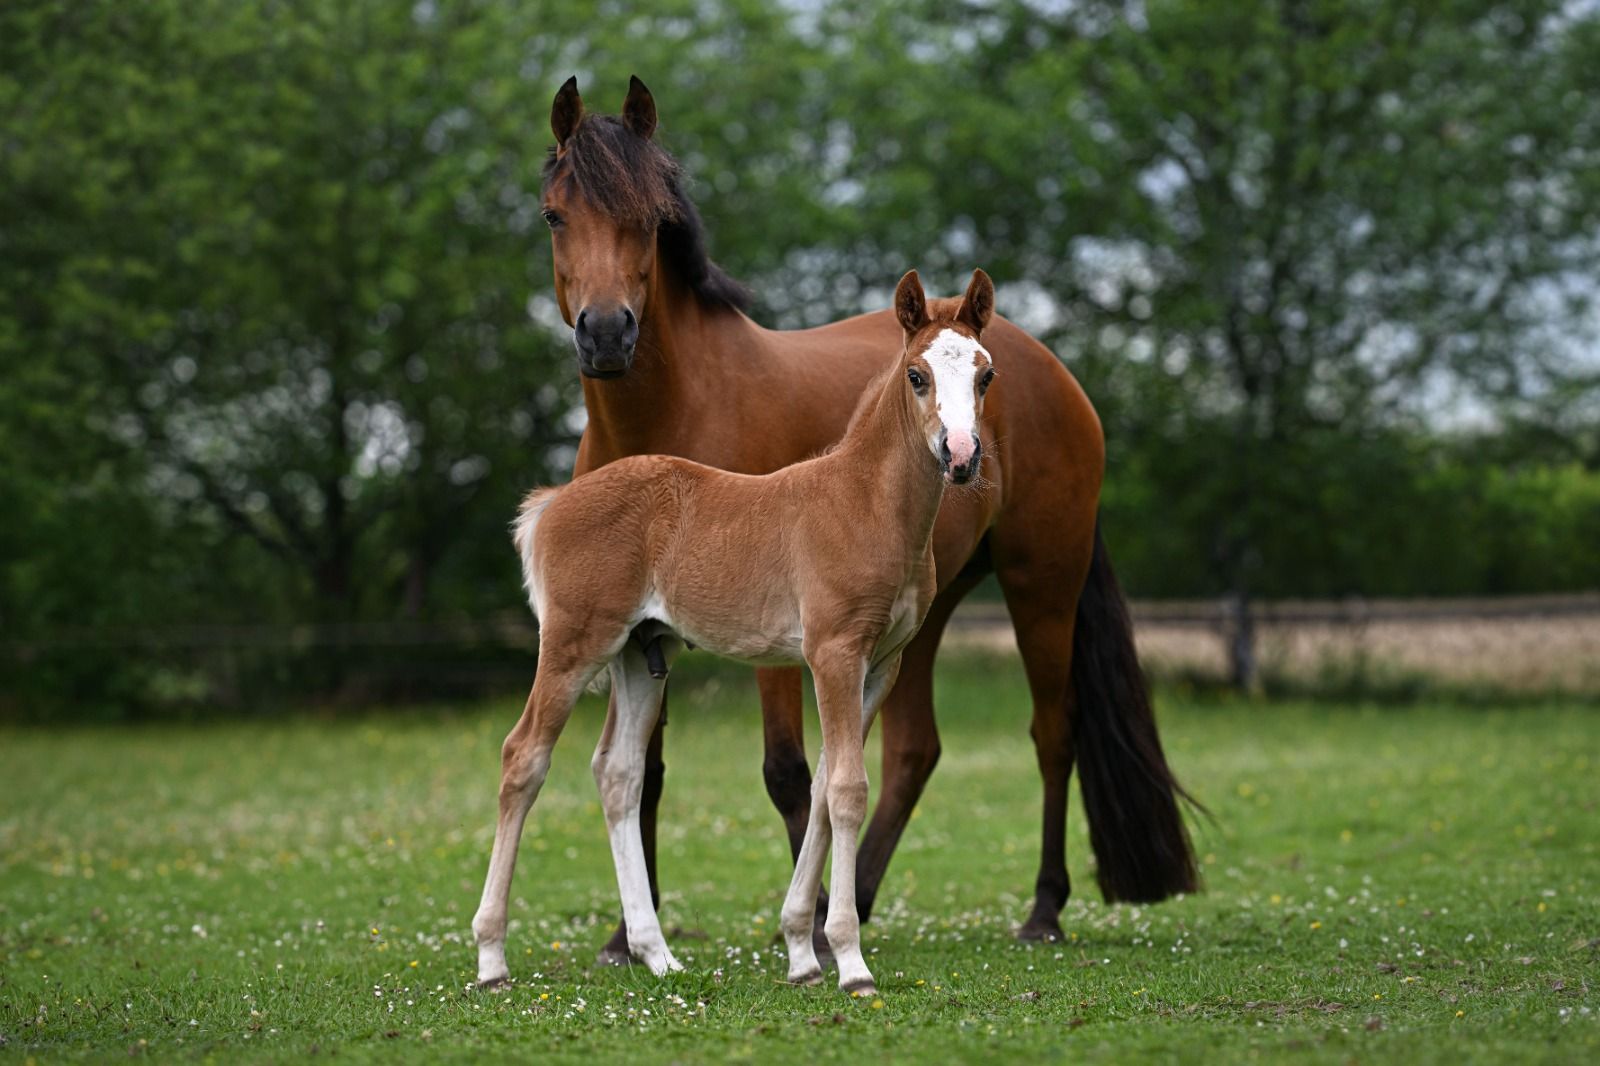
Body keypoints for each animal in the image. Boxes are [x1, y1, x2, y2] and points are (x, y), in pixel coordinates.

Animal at [473, 268, 999, 996]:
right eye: (917, 375)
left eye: (986, 374)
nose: (961, 455)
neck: (865, 503)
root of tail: (552, 504)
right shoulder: (833, 653)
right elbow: (846, 790)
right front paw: (850, 962)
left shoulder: (880, 665)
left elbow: (825, 783)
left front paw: (802, 952)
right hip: (575, 645)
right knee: (523, 757)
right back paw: (491, 958)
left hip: (640, 655)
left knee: (618, 774)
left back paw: (657, 953)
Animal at [527, 75, 1197, 967]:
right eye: (554, 214)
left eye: (649, 219)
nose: (605, 334)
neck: (670, 419)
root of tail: (1052, 369)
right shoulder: (651, 627)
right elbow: (651, 772)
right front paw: (631, 935)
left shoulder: (778, 637)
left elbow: (788, 771)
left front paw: (808, 923)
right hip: (928, 610)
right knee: (916, 748)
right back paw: (870, 892)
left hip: (1041, 586)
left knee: (1054, 734)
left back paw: (1043, 908)